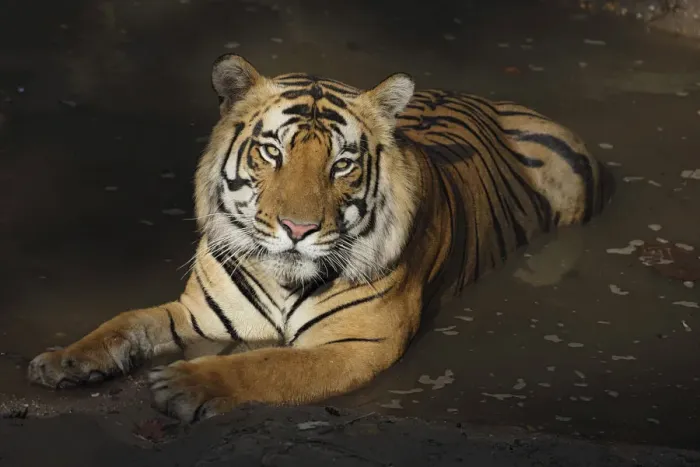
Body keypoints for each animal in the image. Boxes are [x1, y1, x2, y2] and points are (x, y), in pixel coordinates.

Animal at [27, 54, 614, 422]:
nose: (298, 230)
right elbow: (124, 323)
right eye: (272, 152)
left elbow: (270, 364)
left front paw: (187, 385)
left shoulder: (357, 344)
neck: (282, 280)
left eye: (342, 164)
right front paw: (62, 361)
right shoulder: (201, 314)